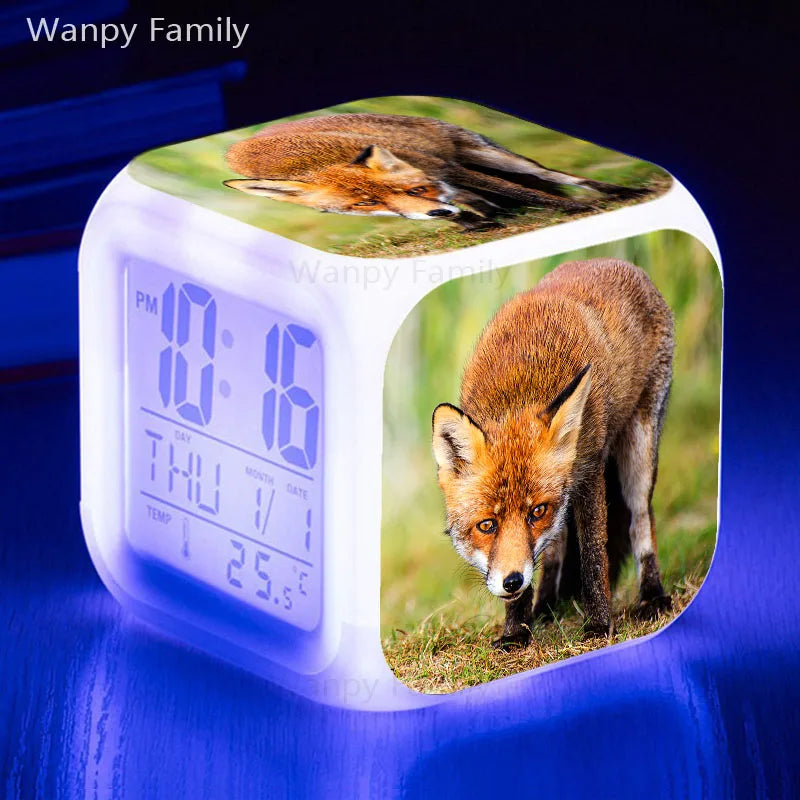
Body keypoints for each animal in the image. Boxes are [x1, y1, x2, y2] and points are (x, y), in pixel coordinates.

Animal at [223, 113, 647, 231]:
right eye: (364, 204)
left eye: (416, 189)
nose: (436, 210)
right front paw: (474, 224)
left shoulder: (449, 172)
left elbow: (528, 191)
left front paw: (576, 211)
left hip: (490, 157)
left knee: (555, 177)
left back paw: (619, 193)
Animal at [431, 258, 674, 648]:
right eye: (486, 525)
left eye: (536, 512)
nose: (512, 580)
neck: (518, 390)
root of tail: (615, 262)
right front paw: (516, 631)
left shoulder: (588, 473)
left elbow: (593, 556)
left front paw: (598, 625)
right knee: (557, 548)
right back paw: (546, 607)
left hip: (638, 450)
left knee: (640, 520)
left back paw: (652, 595)